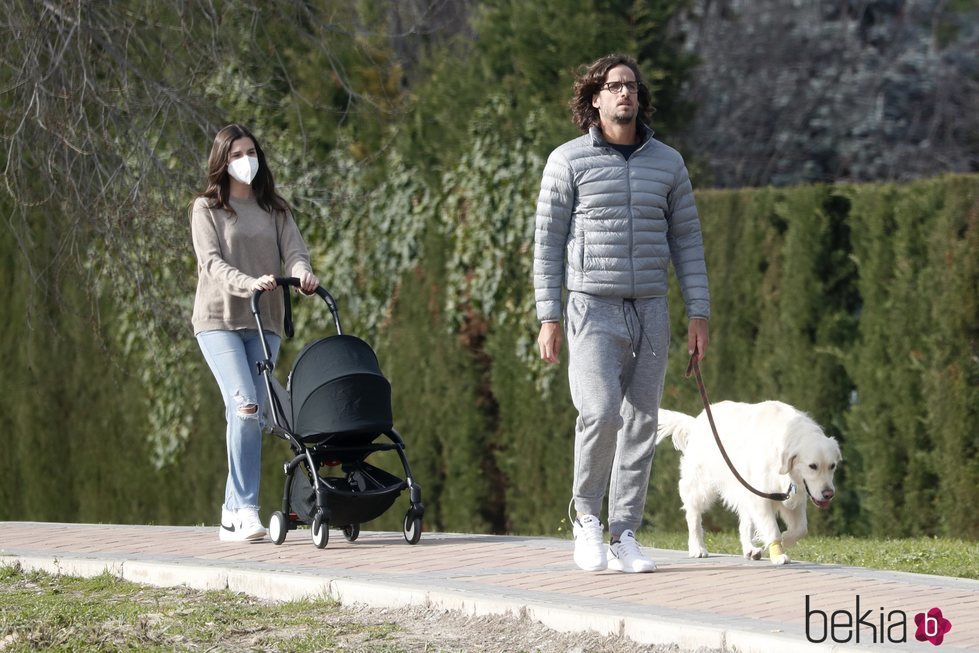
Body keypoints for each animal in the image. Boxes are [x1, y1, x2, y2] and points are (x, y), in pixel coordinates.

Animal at [656, 400, 840, 564]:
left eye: (832, 466)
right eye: (813, 466)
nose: (828, 494)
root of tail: (696, 422)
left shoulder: (793, 497)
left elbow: (801, 529)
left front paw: (784, 540)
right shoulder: (762, 496)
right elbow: (773, 530)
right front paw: (778, 554)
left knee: (745, 523)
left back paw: (750, 549)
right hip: (701, 485)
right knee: (693, 514)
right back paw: (697, 548)